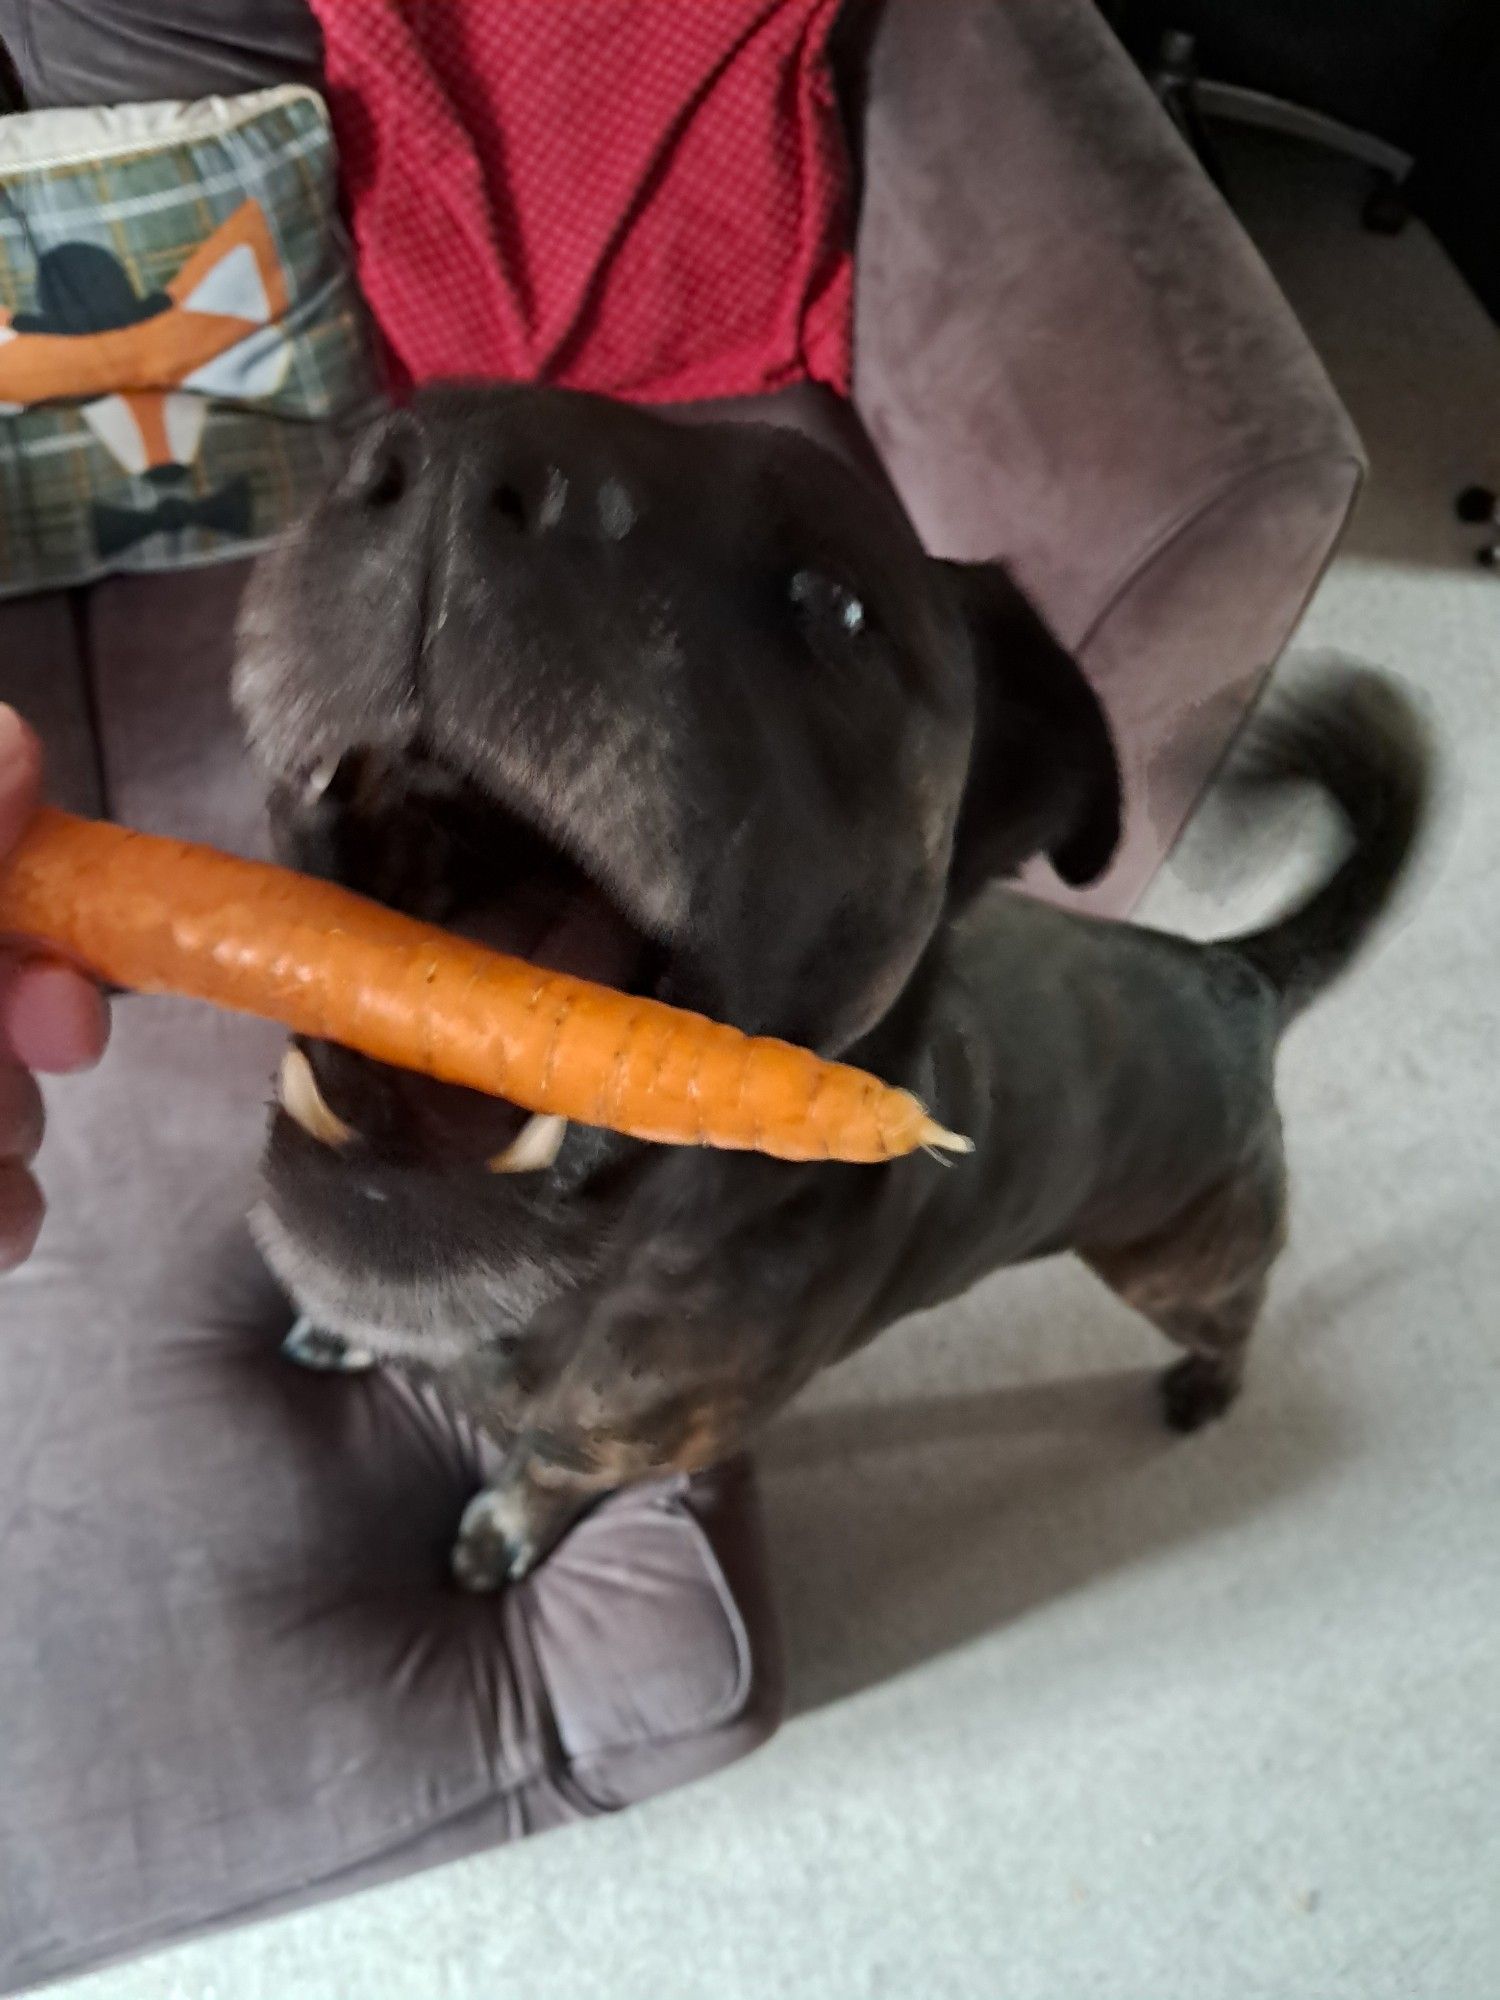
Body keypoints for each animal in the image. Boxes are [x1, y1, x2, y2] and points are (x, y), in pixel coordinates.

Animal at [229, 382, 1424, 1584]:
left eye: (840, 607)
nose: (462, 458)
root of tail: (1237, 975)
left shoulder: (610, 1444)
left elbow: (539, 1480)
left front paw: (501, 1533)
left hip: (1176, 1264)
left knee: (1239, 1312)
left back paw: (1209, 1387)